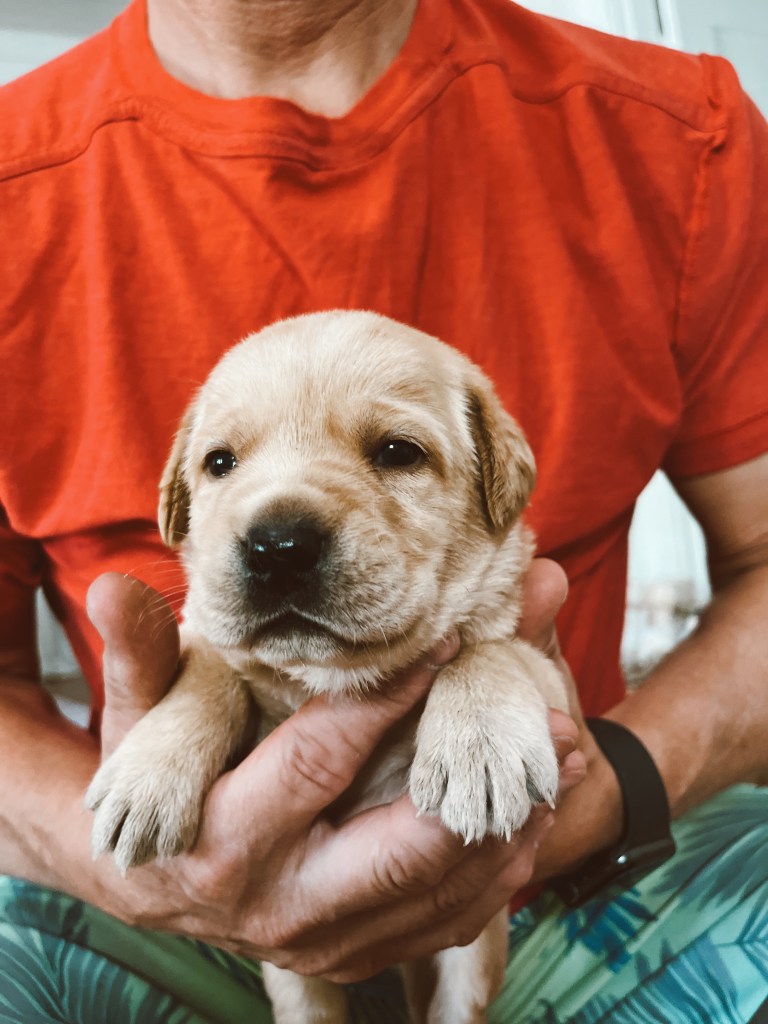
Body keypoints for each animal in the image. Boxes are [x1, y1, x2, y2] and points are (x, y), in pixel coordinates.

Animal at [86, 310, 567, 1023]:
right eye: (220, 463)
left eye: (398, 453)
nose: (277, 545)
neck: (326, 676)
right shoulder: (208, 633)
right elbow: (211, 669)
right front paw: (147, 774)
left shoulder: (552, 673)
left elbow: (490, 648)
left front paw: (479, 743)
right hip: (294, 976)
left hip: (474, 954)